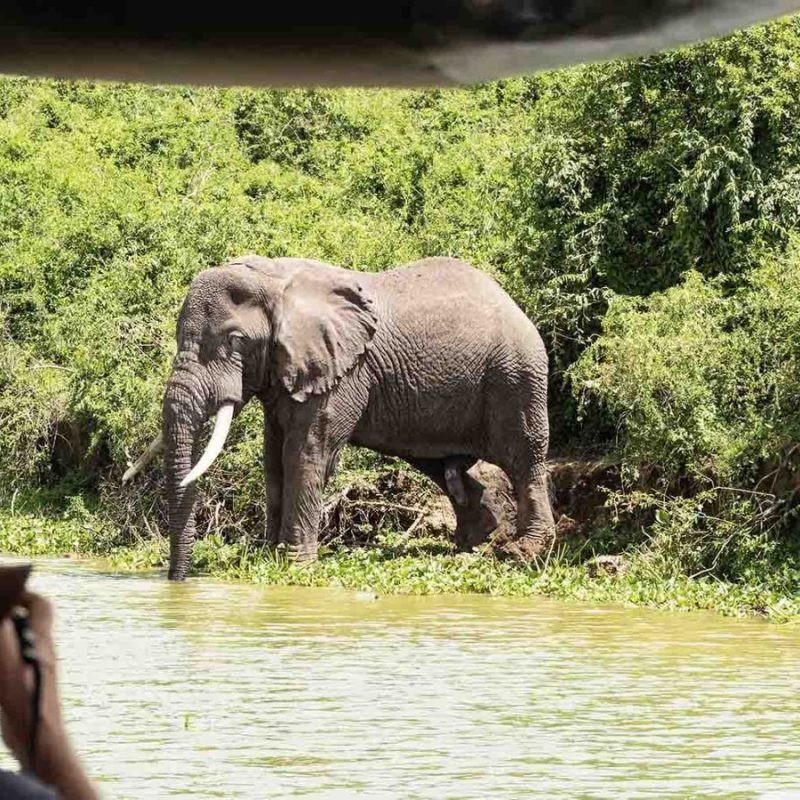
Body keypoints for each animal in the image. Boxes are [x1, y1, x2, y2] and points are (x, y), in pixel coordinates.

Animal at [123, 255, 555, 580]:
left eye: (235, 342)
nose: (177, 580)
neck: (276, 280)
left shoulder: (343, 371)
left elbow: (306, 452)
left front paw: (293, 565)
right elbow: (274, 456)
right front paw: (268, 555)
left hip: (515, 375)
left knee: (524, 458)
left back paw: (524, 552)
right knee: (437, 463)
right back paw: (475, 541)